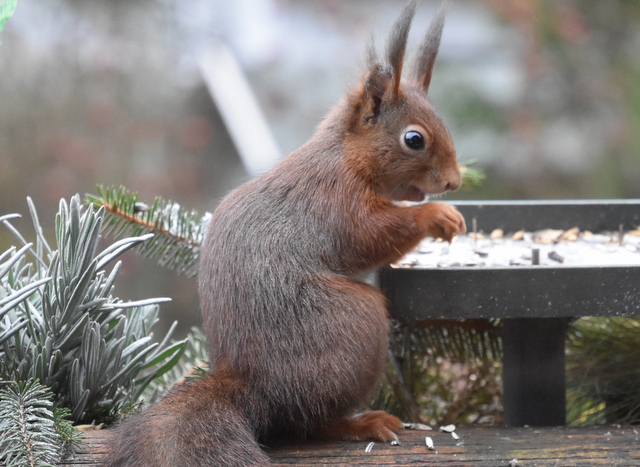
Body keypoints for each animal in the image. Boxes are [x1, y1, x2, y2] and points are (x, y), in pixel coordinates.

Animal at [104, 1, 464, 466]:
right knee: (311, 422)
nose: (455, 181)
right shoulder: (335, 202)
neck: (347, 158)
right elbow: (370, 236)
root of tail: (250, 385)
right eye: (414, 139)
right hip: (355, 324)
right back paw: (361, 423)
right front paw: (438, 216)